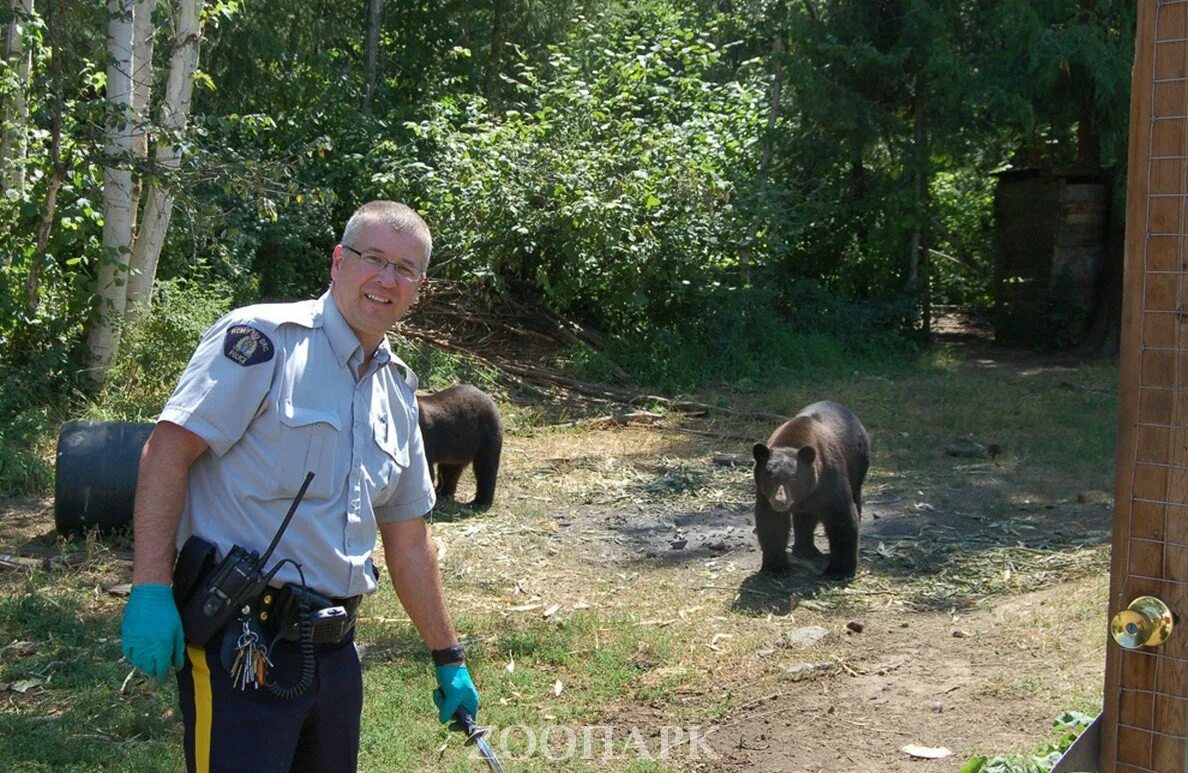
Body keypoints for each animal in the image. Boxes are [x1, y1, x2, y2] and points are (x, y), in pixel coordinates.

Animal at [755, 401, 869, 577]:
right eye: (770, 477)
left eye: (793, 478)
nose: (780, 501)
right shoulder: (764, 493)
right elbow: (771, 522)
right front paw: (775, 567)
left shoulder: (829, 477)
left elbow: (841, 516)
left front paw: (839, 570)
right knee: (805, 517)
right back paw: (805, 550)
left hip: (858, 465)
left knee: (855, 498)